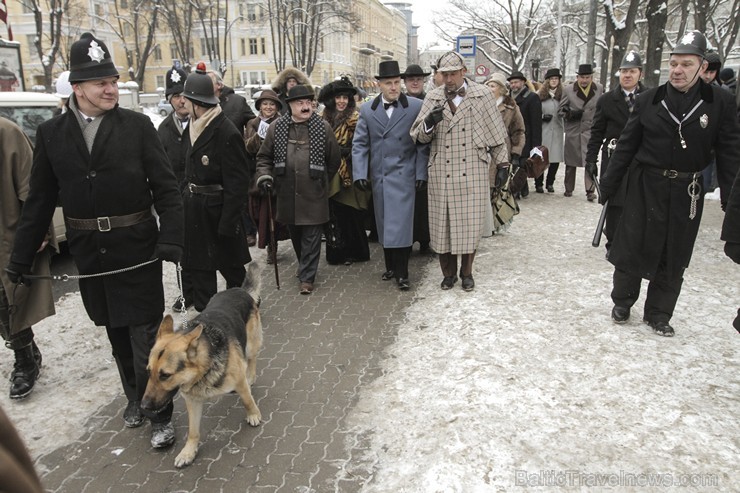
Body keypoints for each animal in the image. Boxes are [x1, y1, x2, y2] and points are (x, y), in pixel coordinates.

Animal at [142, 262, 264, 466]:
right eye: (148, 372)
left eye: (165, 375)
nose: (143, 407)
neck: (204, 370)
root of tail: (238, 289)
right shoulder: (192, 401)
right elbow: (193, 431)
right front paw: (188, 452)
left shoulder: (238, 381)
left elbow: (247, 399)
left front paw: (253, 414)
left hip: (251, 343)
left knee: (252, 359)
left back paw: (251, 376)